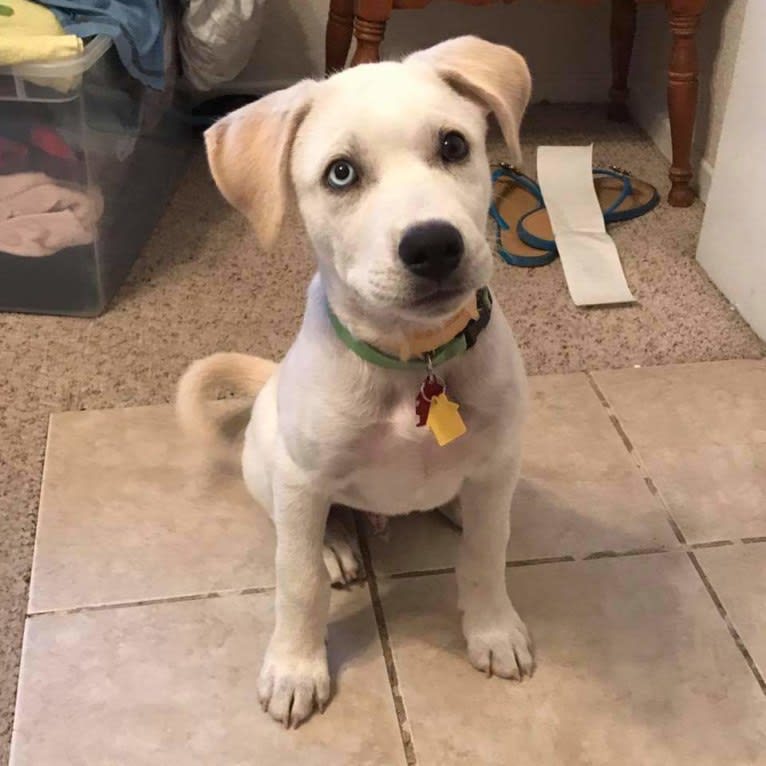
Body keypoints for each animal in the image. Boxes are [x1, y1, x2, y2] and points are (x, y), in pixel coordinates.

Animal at [179, 37, 536, 732]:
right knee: (301, 529)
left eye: (454, 145)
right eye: (340, 174)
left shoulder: (501, 455)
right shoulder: (300, 480)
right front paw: (295, 668)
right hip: (269, 466)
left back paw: (454, 505)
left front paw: (493, 631)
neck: (415, 360)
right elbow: (296, 583)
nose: (434, 246)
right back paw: (336, 545)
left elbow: (486, 554)